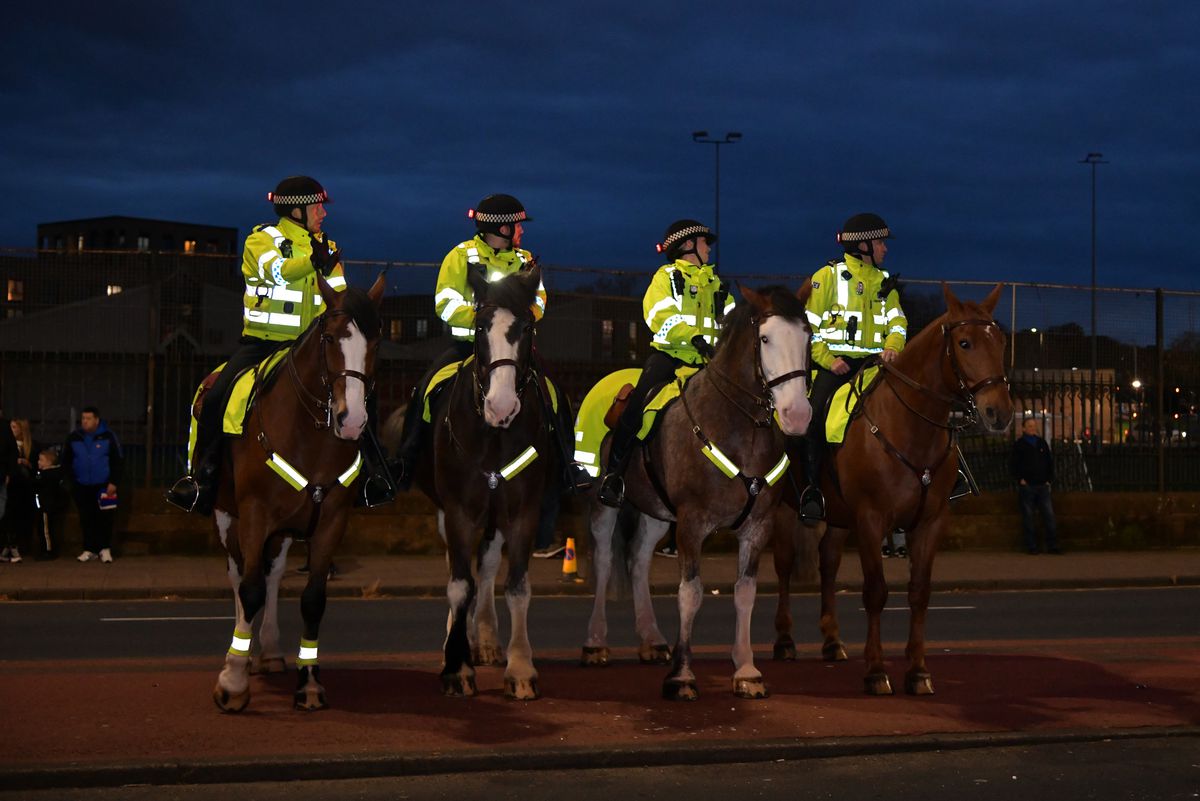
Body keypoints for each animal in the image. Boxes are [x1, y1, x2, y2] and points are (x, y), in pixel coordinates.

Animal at [211, 272, 384, 709]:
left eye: (376, 342)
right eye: (331, 338)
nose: (352, 421)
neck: (312, 435)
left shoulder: (330, 522)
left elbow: (312, 599)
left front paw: (309, 683)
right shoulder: (253, 513)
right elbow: (249, 590)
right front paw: (232, 682)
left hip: (284, 529)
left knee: (271, 575)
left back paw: (268, 652)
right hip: (227, 515)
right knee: (239, 576)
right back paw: (241, 655)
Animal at [415, 263, 554, 700]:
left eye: (527, 328)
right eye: (479, 327)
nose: (501, 406)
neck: (493, 434)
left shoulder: (523, 512)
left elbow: (516, 586)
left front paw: (520, 667)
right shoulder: (459, 510)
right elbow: (460, 585)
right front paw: (457, 665)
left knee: (489, 569)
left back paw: (488, 639)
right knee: (460, 572)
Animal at [580, 284, 816, 695]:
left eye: (808, 337)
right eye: (765, 338)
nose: (797, 414)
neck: (738, 427)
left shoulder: (757, 527)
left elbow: (745, 593)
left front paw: (746, 669)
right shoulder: (691, 524)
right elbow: (690, 594)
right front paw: (681, 674)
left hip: (656, 512)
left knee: (638, 559)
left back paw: (652, 640)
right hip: (603, 501)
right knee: (605, 560)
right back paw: (595, 643)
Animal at [772, 281, 1008, 695]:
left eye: (1002, 341)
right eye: (964, 343)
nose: (1001, 412)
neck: (910, 427)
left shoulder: (929, 523)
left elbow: (919, 593)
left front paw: (918, 671)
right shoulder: (871, 520)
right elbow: (876, 592)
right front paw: (876, 670)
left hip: (838, 516)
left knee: (828, 562)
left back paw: (831, 640)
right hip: (784, 507)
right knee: (783, 564)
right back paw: (784, 640)